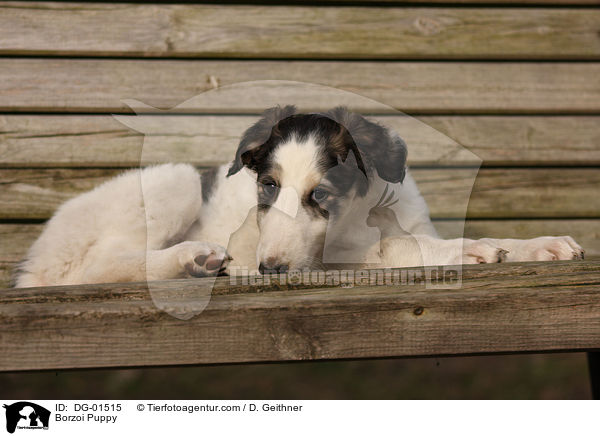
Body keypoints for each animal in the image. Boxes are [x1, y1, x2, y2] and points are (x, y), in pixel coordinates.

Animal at [14, 107, 584, 288]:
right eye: (267, 186)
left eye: (321, 193)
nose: (271, 271)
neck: (365, 217)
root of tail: (33, 260)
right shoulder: (340, 256)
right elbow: (402, 247)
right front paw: (472, 249)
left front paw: (541, 245)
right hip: (172, 181)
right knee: (94, 269)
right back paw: (194, 258)